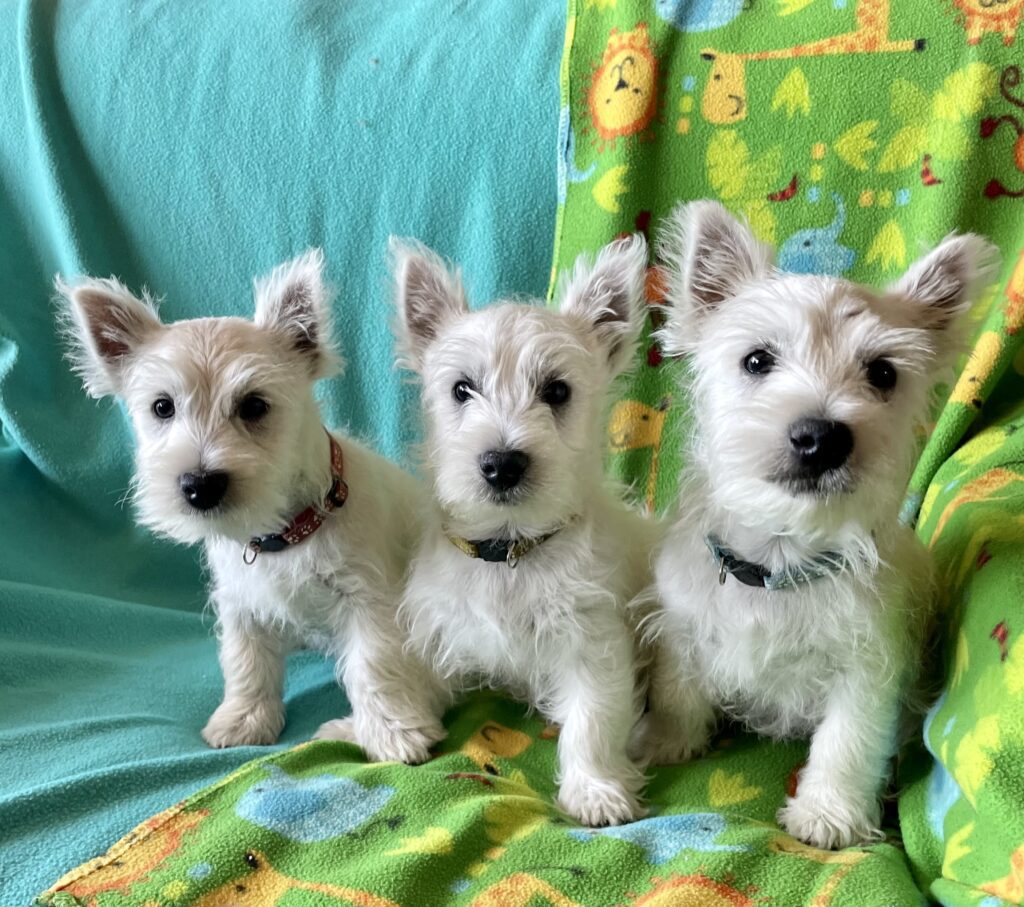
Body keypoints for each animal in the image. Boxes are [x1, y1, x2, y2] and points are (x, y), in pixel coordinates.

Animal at [57, 250, 445, 763]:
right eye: (162, 407)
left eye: (254, 406)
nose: (200, 485)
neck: (286, 533)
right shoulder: (240, 604)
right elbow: (246, 663)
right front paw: (242, 720)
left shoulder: (370, 601)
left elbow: (375, 666)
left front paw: (394, 734)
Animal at [390, 234, 659, 826]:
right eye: (462, 389)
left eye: (556, 391)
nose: (502, 464)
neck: (511, 548)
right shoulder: (439, 628)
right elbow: (411, 679)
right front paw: (385, 729)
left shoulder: (593, 644)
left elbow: (593, 721)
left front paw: (596, 790)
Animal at [633, 201, 997, 849]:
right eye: (757, 360)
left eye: (882, 373)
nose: (821, 437)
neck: (780, 558)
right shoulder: (683, 625)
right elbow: (677, 689)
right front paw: (670, 741)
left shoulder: (868, 667)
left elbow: (846, 741)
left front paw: (828, 814)